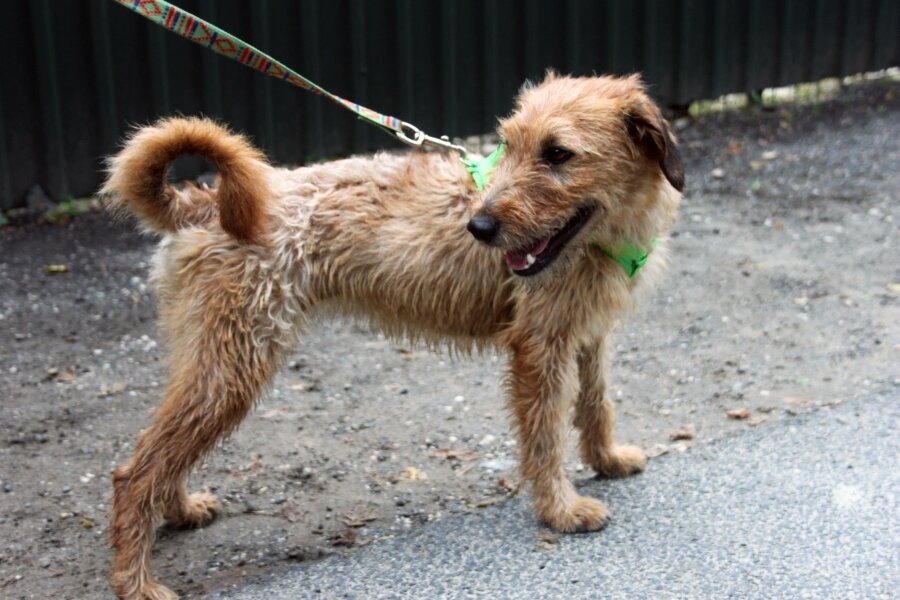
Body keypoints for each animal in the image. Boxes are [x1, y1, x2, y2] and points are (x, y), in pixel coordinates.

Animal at [102, 73, 683, 599]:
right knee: (135, 474)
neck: (601, 237)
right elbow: (544, 437)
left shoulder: (588, 335)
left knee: (153, 451)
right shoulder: (540, 350)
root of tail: (202, 203)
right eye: (510, 144)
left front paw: (607, 460)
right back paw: (138, 584)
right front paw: (560, 510)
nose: (479, 228)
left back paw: (179, 509)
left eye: (558, 153)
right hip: (230, 371)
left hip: (207, 364)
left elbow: (595, 404)